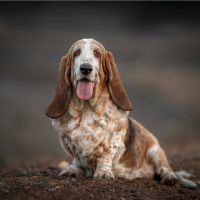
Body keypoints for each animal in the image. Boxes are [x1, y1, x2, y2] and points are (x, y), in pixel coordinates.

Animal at [46, 38, 198, 188]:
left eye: (96, 53)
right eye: (77, 52)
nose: (85, 69)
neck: (87, 108)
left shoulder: (113, 139)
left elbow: (106, 155)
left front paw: (103, 173)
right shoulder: (69, 142)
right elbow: (77, 159)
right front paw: (71, 170)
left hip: (156, 151)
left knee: (165, 168)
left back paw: (170, 178)